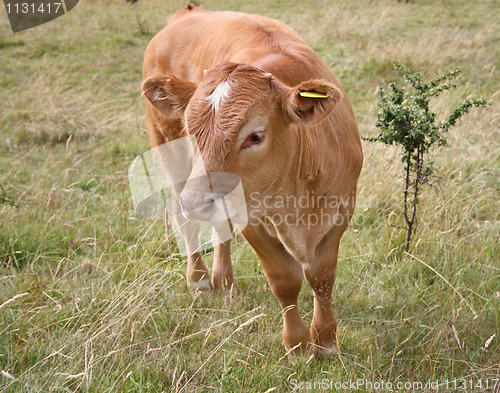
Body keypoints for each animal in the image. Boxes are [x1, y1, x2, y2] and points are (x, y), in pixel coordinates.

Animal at [143, 5, 362, 356]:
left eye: (255, 136)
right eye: (191, 130)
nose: (196, 202)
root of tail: (188, 13)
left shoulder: (342, 208)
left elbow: (322, 276)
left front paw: (327, 340)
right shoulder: (251, 219)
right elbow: (284, 278)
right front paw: (298, 345)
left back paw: (224, 281)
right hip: (171, 155)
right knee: (185, 221)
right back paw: (200, 279)